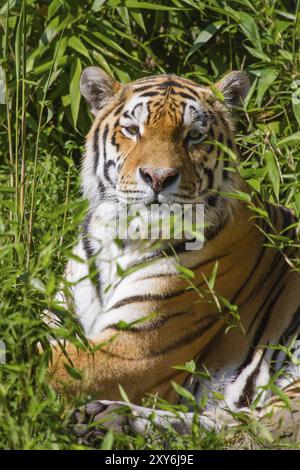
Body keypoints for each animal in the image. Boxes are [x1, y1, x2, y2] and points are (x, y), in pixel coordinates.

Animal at [47, 67, 300, 440]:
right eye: (133, 130)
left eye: (193, 136)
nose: (158, 177)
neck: (122, 239)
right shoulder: (61, 316)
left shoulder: (136, 347)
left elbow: (43, 363)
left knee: (256, 429)